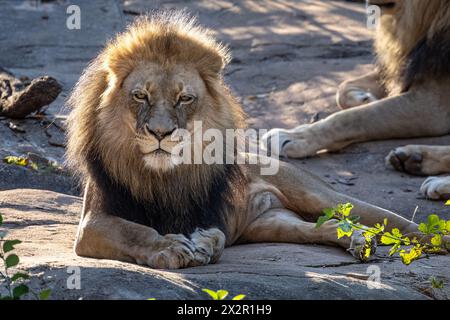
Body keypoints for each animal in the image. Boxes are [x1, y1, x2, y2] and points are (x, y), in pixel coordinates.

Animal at [65, 11, 424, 268]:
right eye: (140, 95)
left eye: (184, 98)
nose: (160, 133)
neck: (163, 174)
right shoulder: (93, 222)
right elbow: (135, 230)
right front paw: (170, 246)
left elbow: (212, 236)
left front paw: (202, 244)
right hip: (274, 224)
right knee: (325, 227)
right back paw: (359, 241)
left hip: (317, 195)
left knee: (397, 222)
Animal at [260, 0, 450, 200]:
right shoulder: (404, 69)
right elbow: (343, 89)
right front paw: (365, 98)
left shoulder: (433, 106)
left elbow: (351, 118)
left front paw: (293, 136)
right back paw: (413, 157)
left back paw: (437, 180)